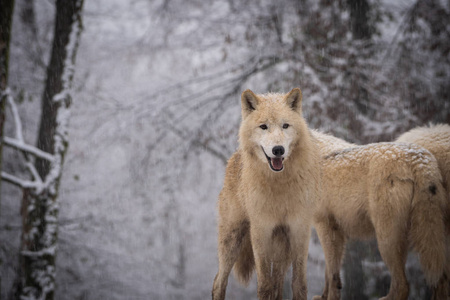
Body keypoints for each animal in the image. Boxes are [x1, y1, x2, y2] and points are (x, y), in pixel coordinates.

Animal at [212, 88, 320, 300]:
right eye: (263, 127)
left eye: (285, 125)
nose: (278, 150)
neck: (279, 185)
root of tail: (234, 157)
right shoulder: (261, 231)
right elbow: (264, 285)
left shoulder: (299, 230)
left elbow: (299, 284)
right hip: (232, 239)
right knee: (218, 282)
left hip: (282, 248)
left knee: (278, 286)